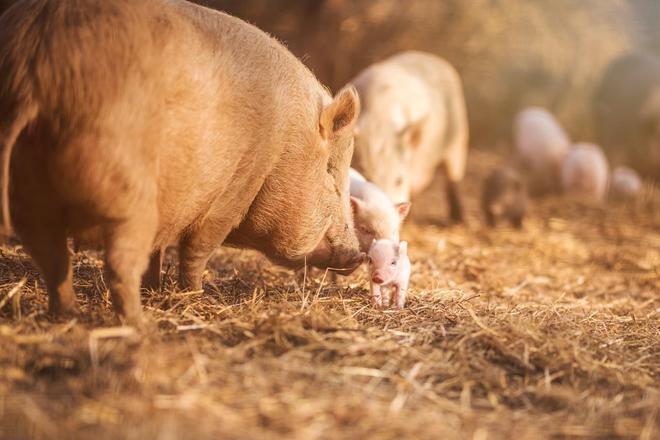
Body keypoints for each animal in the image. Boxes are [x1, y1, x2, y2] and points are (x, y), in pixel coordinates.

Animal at [0, 0, 360, 324]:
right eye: (331, 173)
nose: (357, 254)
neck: (284, 145)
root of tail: (33, 70)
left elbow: (157, 251)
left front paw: (156, 288)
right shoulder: (235, 187)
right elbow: (197, 248)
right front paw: (194, 294)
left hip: (28, 193)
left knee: (51, 256)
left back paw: (69, 315)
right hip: (125, 190)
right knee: (117, 264)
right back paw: (141, 327)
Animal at [350, 51, 470, 223]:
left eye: (399, 180)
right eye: (366, 178)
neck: (378, 124)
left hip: (459, 136)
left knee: (453, 177)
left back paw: (458, 219)